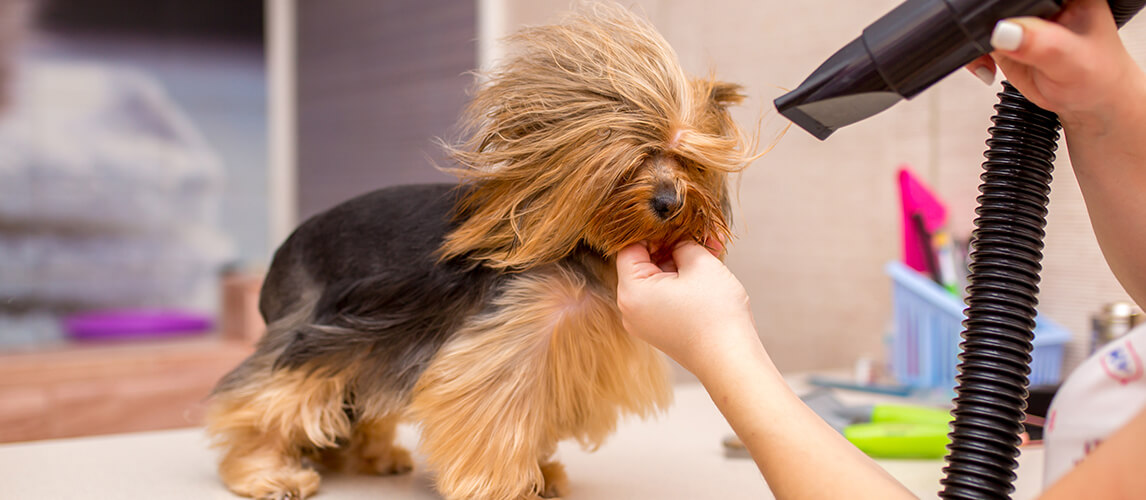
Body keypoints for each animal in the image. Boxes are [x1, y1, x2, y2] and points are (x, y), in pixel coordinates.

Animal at [206, 4, 756, 499]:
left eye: (689, 161)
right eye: (630, 158)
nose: (669, 202)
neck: (586, 250)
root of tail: (281, 254)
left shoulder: (564, 352)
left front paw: (543, 475)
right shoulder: (508, 341)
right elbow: (494, 413)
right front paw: (507, 487)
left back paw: (376, 456)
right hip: (321, 328)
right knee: (267, 396)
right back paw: (266, 473)